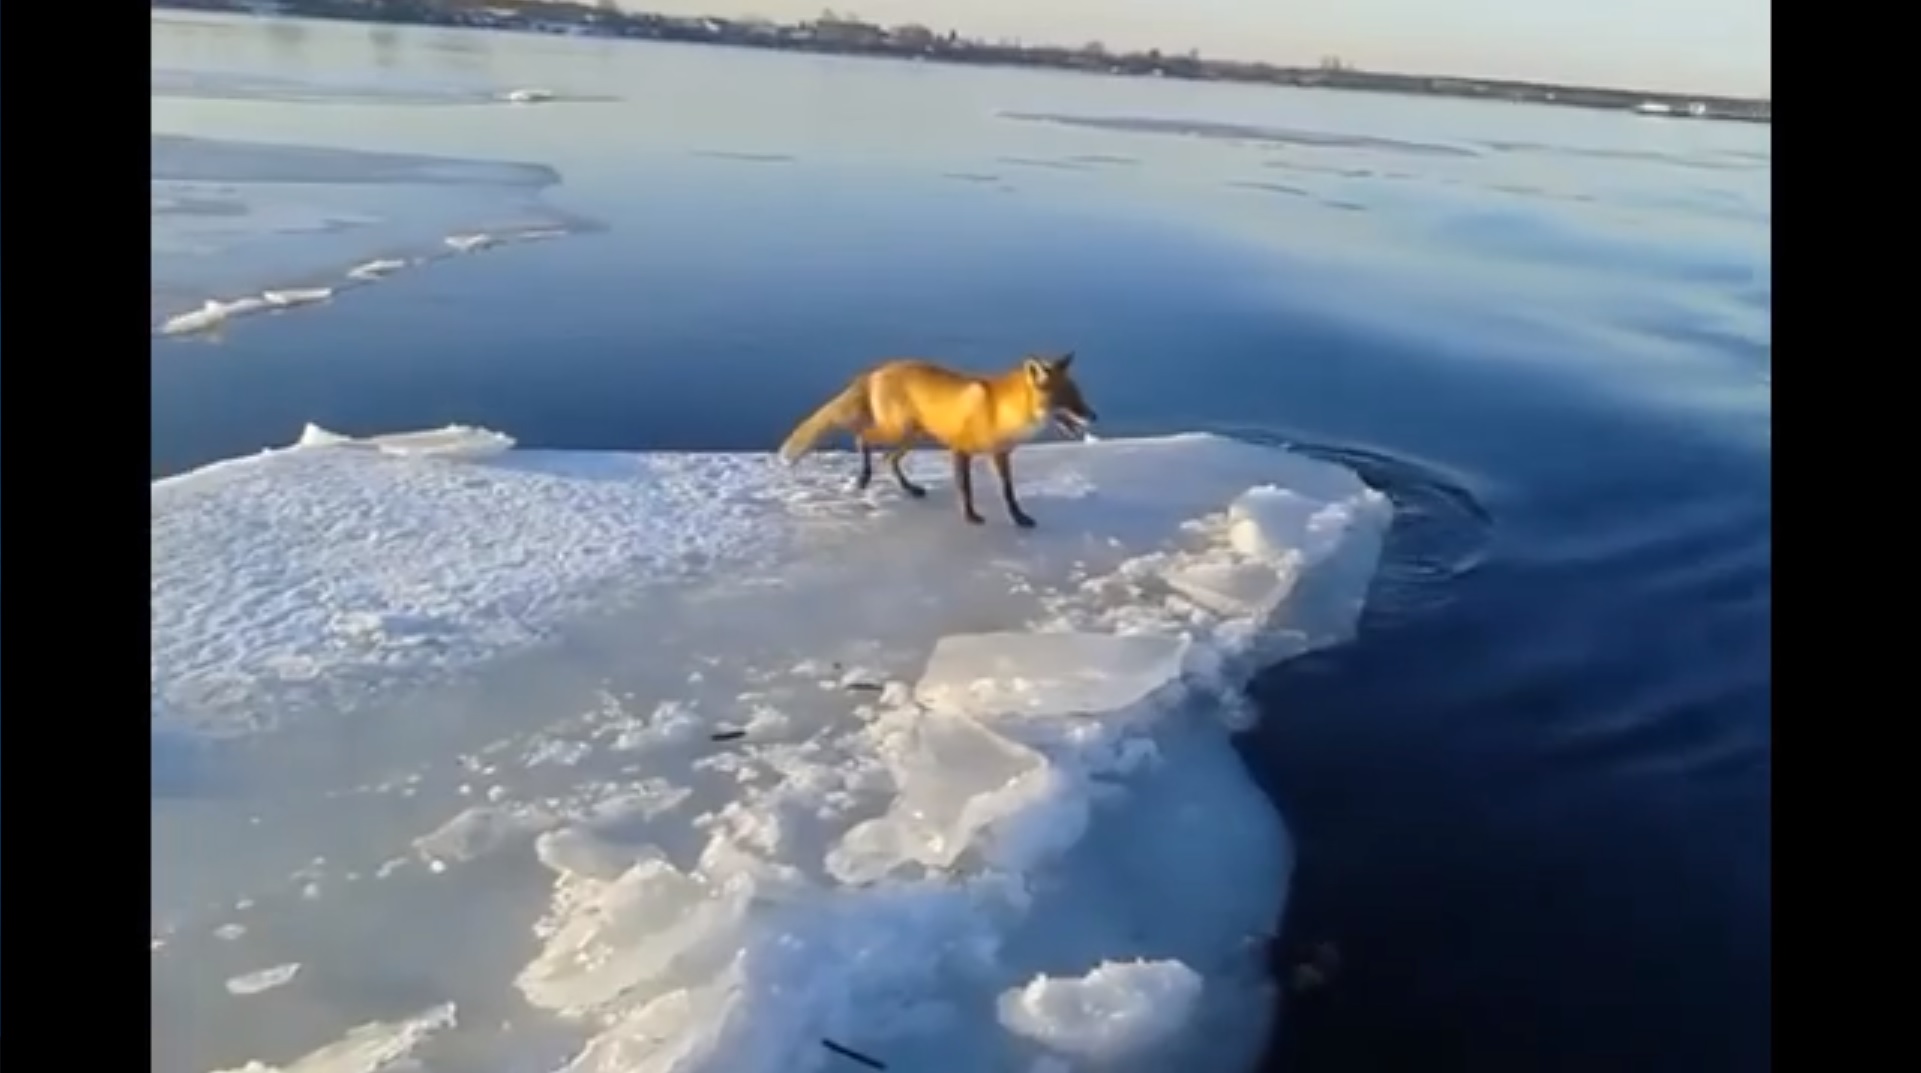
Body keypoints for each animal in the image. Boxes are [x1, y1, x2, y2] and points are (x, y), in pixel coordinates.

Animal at [768, 353, 1098, 529]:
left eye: (1079, 397)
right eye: (1067, 400)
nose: (1094, 416)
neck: (1000, 412)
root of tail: (878, 369)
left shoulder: (1001, 454)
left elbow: (1009, 493)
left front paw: (1019, 518)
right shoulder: (960, 450)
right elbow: (965, 490)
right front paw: (970, 516)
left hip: (914, 436)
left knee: (889, 458)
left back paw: (909, 488)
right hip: (897, 430)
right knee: (862, 438)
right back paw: (863, 477)